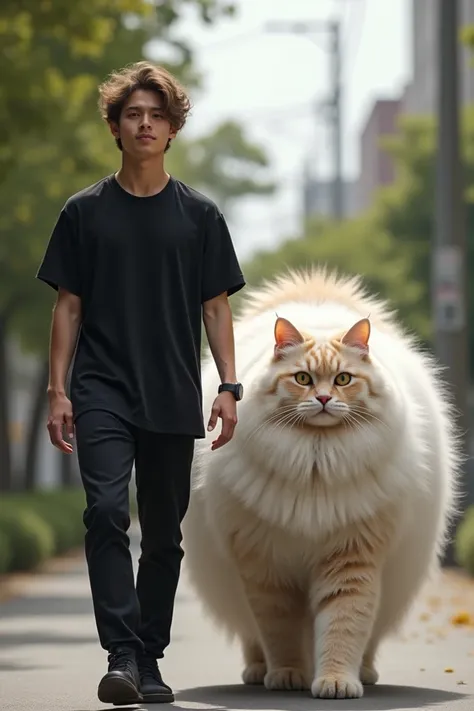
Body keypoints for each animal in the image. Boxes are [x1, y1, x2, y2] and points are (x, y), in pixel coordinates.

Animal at [182, 268, 460, 700]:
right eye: (303, 378)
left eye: (344, 379)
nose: (326, 399)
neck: (316, 459)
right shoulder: (266, 569)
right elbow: (278, 632)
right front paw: (288, 675)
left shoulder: (352, 558)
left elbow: (344, 626)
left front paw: (335, 682)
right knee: (252, 638)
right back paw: (258, 672)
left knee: (368, 638)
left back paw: (364, 673)